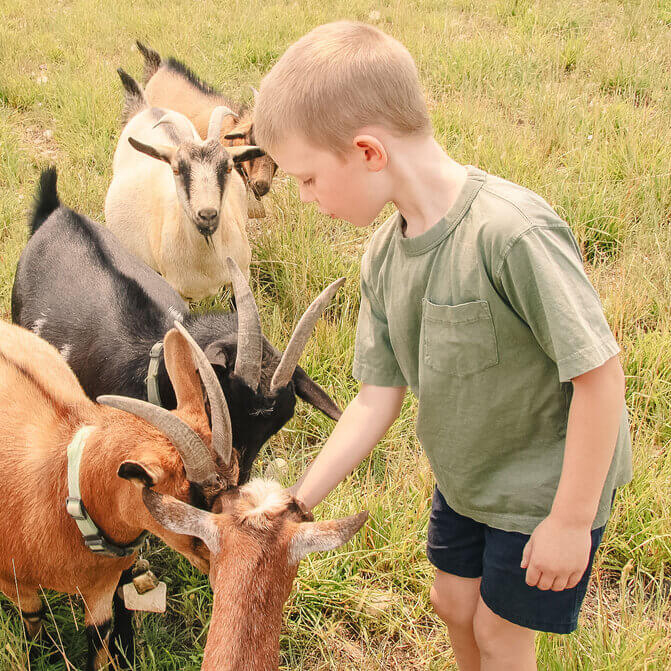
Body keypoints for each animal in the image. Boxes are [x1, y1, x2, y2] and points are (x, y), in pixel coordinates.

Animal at [0, 318, 243, 668]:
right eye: (185, 508)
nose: (224, 569)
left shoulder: (102, 588)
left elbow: (99, 641)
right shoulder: (14, 584)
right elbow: (35, 626)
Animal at [105, 69, 266, 300]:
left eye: (228, 167)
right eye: (176, 169)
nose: (207, 215)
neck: (208, 263)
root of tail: (145, 108)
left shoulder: (241, 275)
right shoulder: (177, 290)